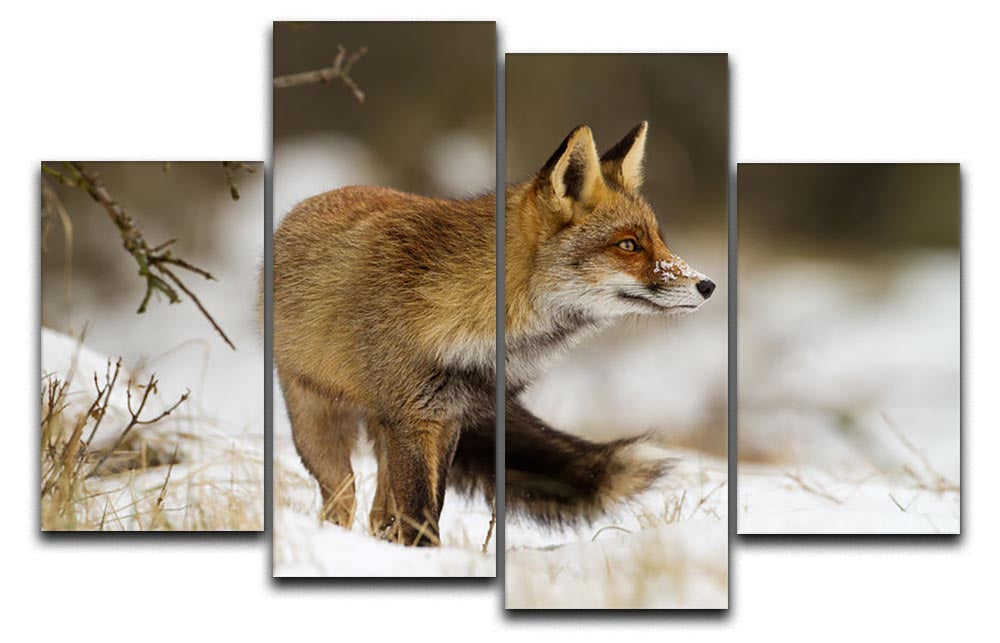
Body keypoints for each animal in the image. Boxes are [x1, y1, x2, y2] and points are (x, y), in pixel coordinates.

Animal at [271, 121, 714, 546]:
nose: (707, 285)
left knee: (380, 513)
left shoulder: (447, 420)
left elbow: (431, 505)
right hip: (318, 425)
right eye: (629, 245)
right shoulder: (414, 419)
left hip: (384, 435)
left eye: (659, 241)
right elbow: (421, 515)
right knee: (341, 500)